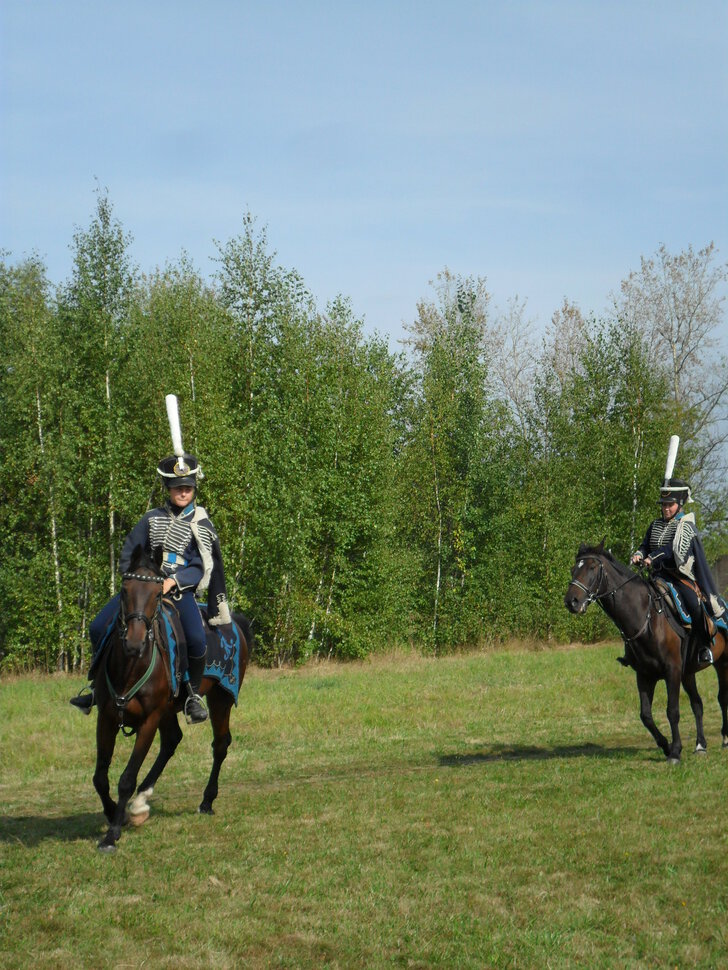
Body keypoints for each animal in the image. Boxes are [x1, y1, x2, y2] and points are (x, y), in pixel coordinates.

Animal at [90, 548, 252, 852]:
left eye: (156, 595)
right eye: (124, 590)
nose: (134, 643)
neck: (131, 667)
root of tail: (234, 623)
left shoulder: (149, 720)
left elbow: (127, 778)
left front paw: (112, 833)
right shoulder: (106, 716)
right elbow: (100, 777)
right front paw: (114, 813)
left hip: (220, 698)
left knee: (220, 744)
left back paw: (206, 801)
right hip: (168, 710)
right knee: (172, 740)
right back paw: (141, 803)